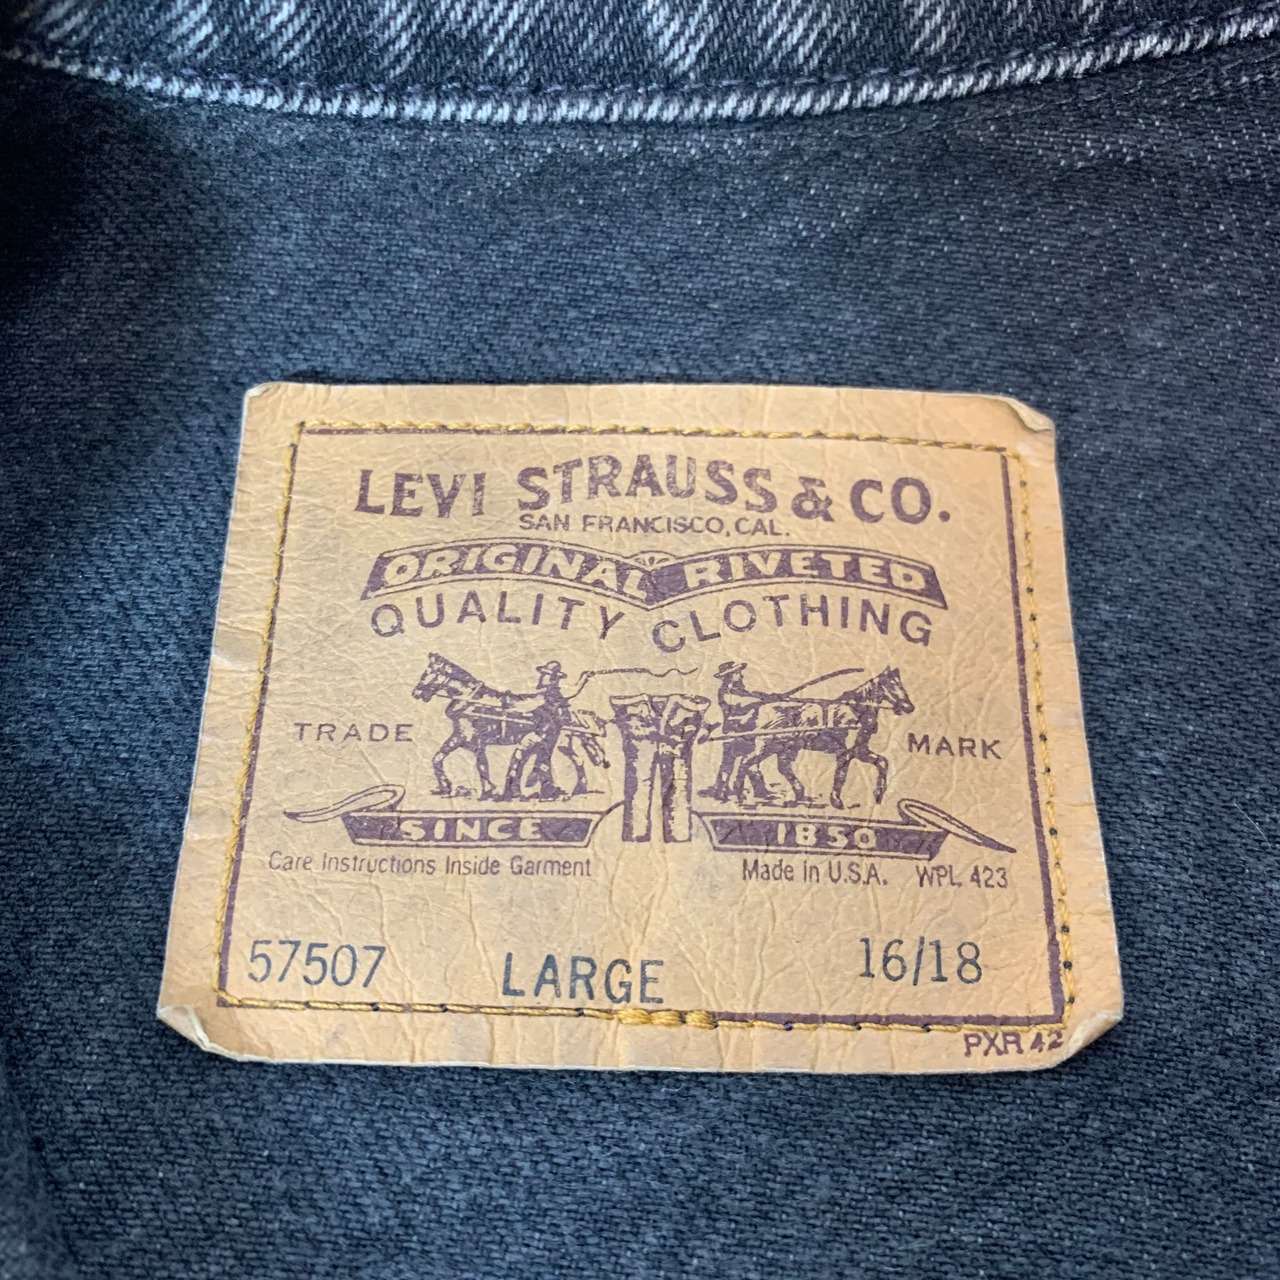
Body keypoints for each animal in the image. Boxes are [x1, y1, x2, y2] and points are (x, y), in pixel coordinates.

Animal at [411, 654, 606, 800]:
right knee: (567, 761)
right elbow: (441, 759)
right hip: (559, 744)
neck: (470, 701)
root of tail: (567, 711)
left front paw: (489, 791)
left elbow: (479, 766)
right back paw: (568, 790)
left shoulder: (471, 740)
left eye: (426, 673)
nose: (416, 693)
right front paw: (446, 787)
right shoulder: (465, 740)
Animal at [726, 667, 915, 808]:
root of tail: (761, 707)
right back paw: (740, 795)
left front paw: (878, 794)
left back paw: (798, 794)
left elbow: (882, 762)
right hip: (767, 745)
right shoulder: (846, 752)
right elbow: (841, 775)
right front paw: (836, 801)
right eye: (891, 684)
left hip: (785, 747)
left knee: (781, 766)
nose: (909, 707)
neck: (856, 710)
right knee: (746, 762)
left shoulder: (860, 750)